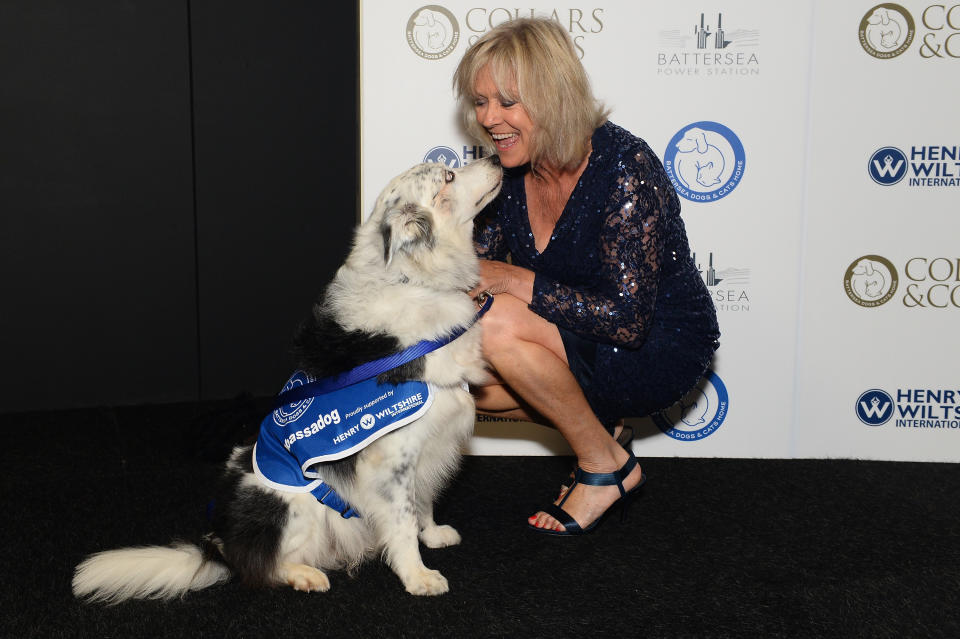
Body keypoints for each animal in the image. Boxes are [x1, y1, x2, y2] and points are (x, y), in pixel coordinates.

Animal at [73, 154, 502, 600]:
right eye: (448, 175)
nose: (494, 156)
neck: (414, 278)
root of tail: (220, 543)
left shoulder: (431, 447)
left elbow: (424, 501)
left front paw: (431, 534)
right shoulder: (393, 459)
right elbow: (401, 522)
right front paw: (417, 576)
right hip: (295, 503)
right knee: (258, 566)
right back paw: (304, 575)